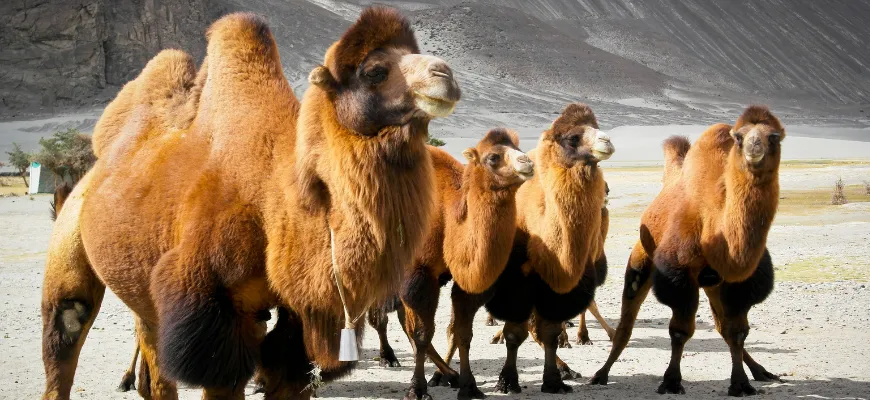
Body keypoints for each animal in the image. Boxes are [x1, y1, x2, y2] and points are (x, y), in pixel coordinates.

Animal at [41, 7, 464, 400]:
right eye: (374, 70)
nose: (445, 75)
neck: (278, 199)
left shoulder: (300, 314)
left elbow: (288, 371)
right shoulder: (211, 312)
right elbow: (224, 378)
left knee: (152, 361)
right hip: (69, 242)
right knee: (67, 327)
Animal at [588, 104, 788, 396]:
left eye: (774, 136)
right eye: (739, 137)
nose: (754, 148)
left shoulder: (736, 281)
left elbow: (737, 331)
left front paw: (741, 383)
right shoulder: (679, 275)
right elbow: (680, 331)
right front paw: (671, 381)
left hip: (711, 283)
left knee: (722, 326)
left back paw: (760, 371)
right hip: (641, 261)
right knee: (626, 323)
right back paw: (600, 373)